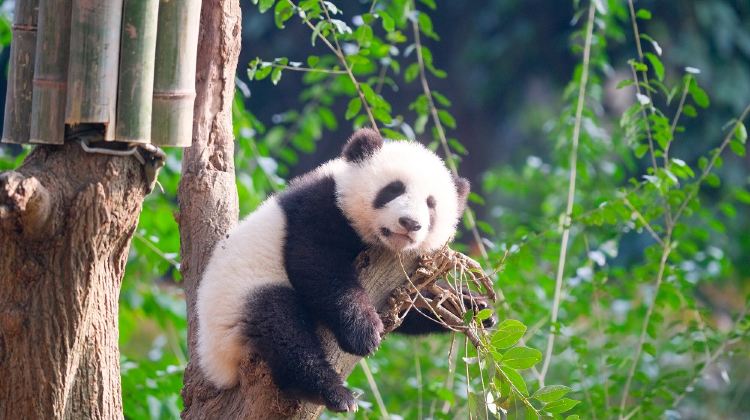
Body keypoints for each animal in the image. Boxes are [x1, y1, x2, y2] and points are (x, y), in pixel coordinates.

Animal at [196, 128, 473, 412]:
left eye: (431, 204)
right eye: (392, 190)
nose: (410, 223)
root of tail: (216, 368)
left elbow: (413, 310)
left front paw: (469, 305)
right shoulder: (320, 208)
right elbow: (317, 264)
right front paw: (363, 332)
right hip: (237, 305)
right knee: (282, 330)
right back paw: (332, 392)